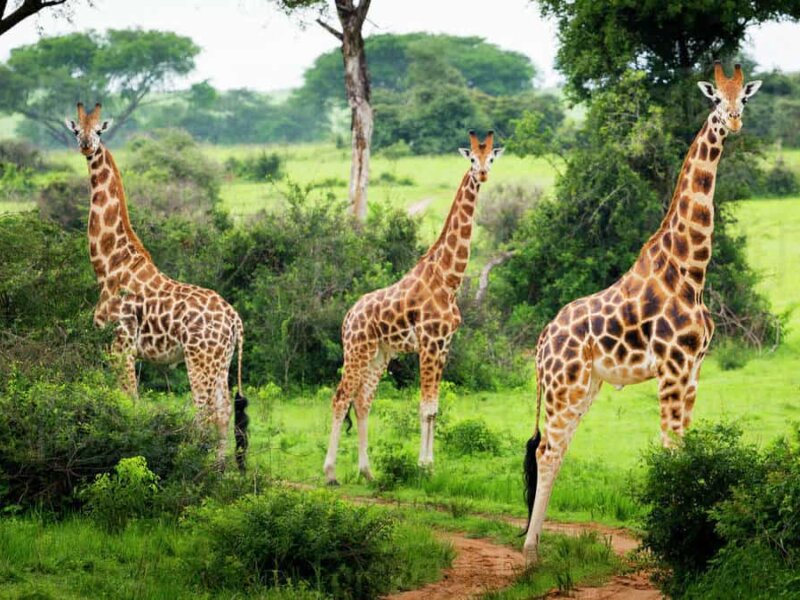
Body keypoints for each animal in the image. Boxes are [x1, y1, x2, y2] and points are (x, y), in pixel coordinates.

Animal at [64, 103, 250, 470]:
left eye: (100, 131)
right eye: (77, 130)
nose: (87, 147)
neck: (109, 266)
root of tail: (235, 320)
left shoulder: (119, 346)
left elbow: (129, 402)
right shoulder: (121, 351)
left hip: (199, 358)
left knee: (205, 410)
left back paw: (199, 467)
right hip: (221, 360)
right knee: (222, 410)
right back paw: (220, 470)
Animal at [323, 130, 504, 485]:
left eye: (491, 158)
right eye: (471, 158)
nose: (482, 175)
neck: (448, 279)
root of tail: (347, 317)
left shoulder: (444, 346)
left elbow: (434, 408)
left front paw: (430, 465)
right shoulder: (429, 344)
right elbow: (425, 407)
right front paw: (423, 467)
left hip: (379, 355)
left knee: (362, 401)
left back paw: (367, 472)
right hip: (357, 350)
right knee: (340, 398)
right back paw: (331, 473)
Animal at [521, 64, 763, 565]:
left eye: (744, 98)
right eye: (715, 99)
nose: (732, 122)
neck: (690, 270)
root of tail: (541, 342)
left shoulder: (693, 370)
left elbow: (685, 447)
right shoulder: (671, 368)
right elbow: (669, 447)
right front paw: (669, 542)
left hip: (585, 386)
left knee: (558, 447)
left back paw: (540, 542)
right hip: (563, 387)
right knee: (547, 450)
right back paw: (530, 549)